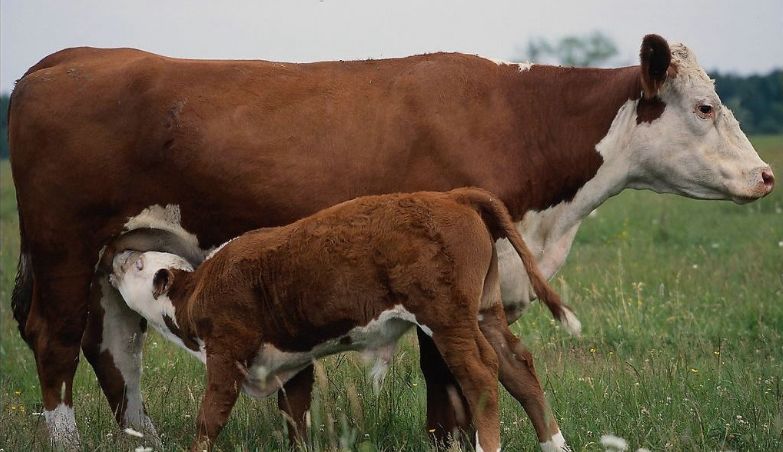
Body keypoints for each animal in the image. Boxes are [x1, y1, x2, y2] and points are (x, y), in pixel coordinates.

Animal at [9, 34, 776, 448]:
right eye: (705, 106)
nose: (766, 175)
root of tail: (64, 59)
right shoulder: (440, 294)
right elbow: (448, 386)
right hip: (63, 249)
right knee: (58, 342)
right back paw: (67, 438)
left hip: (116, 252)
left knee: (117, 345)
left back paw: (144, 441)